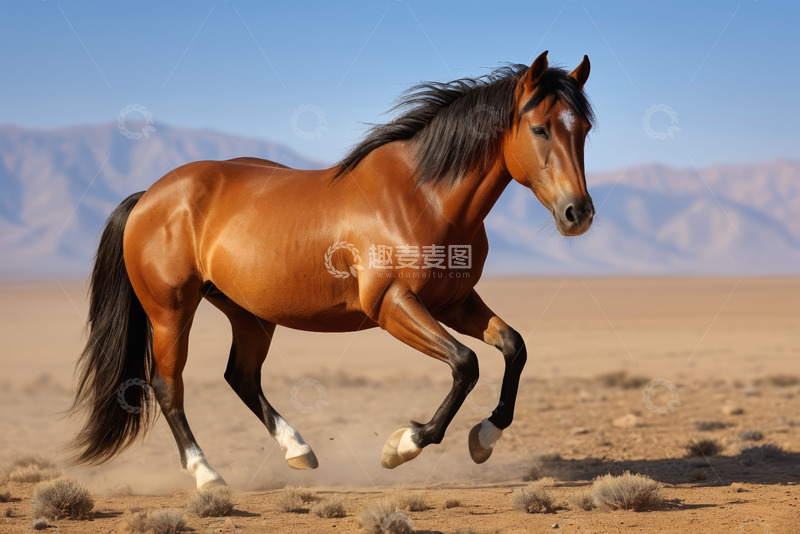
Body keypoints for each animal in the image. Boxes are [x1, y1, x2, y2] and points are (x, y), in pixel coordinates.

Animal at [70, 51, 595, 488]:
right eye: (541, 129)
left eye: (584, 130)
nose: (578, 214)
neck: (422, 198)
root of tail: (150, 196)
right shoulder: (392, 305)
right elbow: (466, 364)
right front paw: (403, 445)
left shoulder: (455, 303)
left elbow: (513, 347)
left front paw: (485, 437)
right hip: (171, 311)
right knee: (168, 387)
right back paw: (207, 474)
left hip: (249, 313)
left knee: (241, 377)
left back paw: (298, 450)